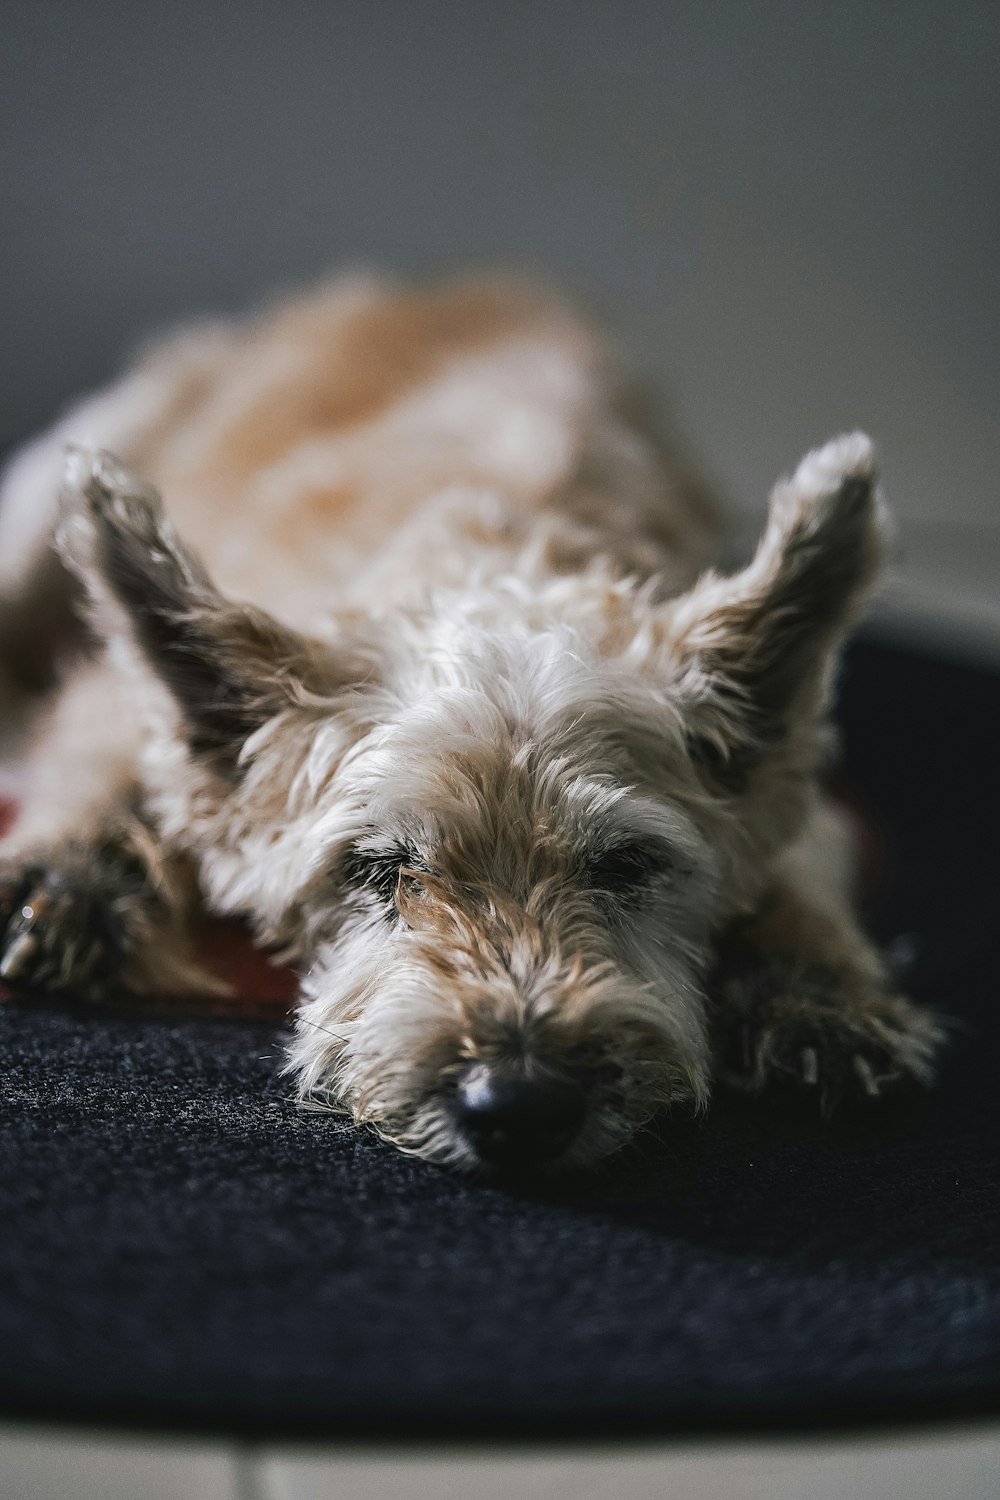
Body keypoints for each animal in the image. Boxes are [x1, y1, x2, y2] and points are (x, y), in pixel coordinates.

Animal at [0, 279, 941, 1170]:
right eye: (378, 868)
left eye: (629, 864)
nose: (520, 1106)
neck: (498, 554)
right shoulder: (121, 693)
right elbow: (98, 751)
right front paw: (68, 869)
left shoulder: (807, 793)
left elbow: (805, 871)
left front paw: (815, 988)